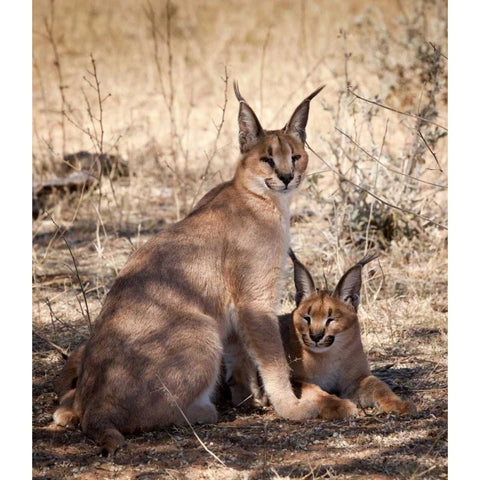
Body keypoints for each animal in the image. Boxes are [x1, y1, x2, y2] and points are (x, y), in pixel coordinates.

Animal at [54, 81, 328, 454]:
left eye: (295, 156)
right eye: (267, 159)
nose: (287, 177)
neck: (262, 199)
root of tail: (93, 408)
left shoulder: (237, 306)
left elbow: (241, 353)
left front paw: (249, 398)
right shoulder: (255, 298)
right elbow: (272, 357)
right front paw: (291, 407)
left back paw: (67, 410)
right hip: (202, 329)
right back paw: (203, 410)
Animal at [225, 251, 416, 420]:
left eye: (331, 319)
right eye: (306, 318)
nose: (316, 336)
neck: (328, 356)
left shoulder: (357, 378)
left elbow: (380, 387)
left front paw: (400, 404)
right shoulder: (294, 379)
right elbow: (313, 390)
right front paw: (339, 405)